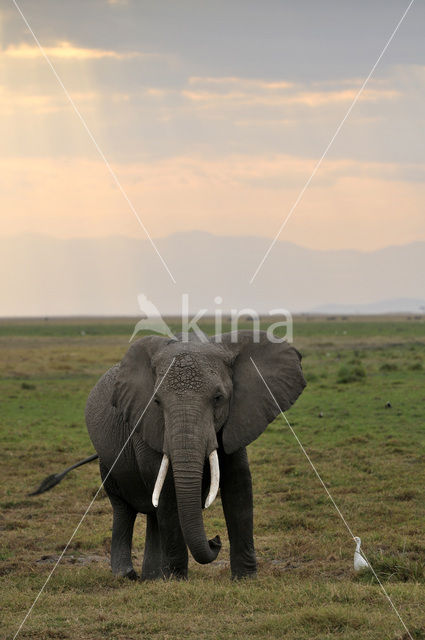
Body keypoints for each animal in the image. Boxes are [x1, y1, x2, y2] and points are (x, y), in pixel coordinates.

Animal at [85, 330, 304, 580]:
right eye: (157, 401)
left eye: (218, 398)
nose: (215, 540)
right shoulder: (144, 420)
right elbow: (168, 490)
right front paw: (176, 579)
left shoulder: (238, 417)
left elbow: (239, 485)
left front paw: (245, 578)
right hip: (108, 466)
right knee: (124, 509)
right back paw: (127, 575)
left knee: (152, 514)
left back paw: (151, 578)